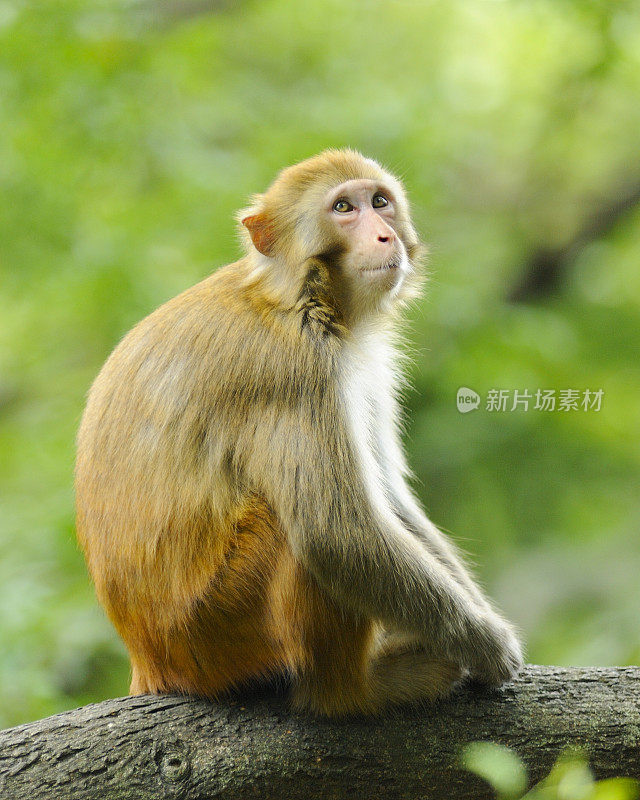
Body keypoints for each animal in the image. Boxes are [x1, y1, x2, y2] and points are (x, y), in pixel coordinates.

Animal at [76, 152, 524, 720]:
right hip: (219, 626)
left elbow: (390, 501)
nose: (384, 235)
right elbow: (337, 530)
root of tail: (149, 658)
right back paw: (353, 689)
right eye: (343, 208)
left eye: (379, 202)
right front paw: (486, 646)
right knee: (294, 530)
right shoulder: (295, 370)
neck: (299, 294)